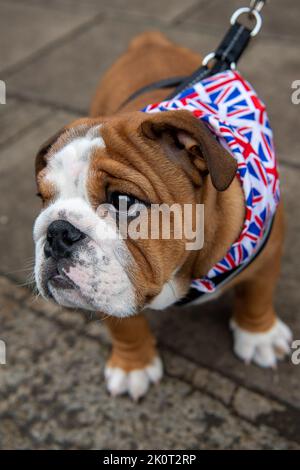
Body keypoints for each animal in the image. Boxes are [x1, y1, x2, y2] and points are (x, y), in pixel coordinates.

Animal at [34, 32, 292, 400]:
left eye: (123, 200)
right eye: (43, 198)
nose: (57, 232)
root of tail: (149, 40)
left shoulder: (268, 252)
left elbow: (257, 293)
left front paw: (260, 337)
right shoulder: (115, 287)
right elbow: (123, 324)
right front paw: (133, 366)